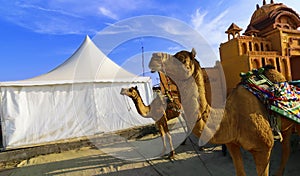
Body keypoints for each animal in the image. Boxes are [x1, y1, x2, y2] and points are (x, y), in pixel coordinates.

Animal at [149, 48, 300, 176]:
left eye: (181, 59)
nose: (154, 58)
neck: (232, 118)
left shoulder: (264, 148)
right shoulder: (232, 145)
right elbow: (240, 172)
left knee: (286, 149)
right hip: (286, 127)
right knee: (287, 149)